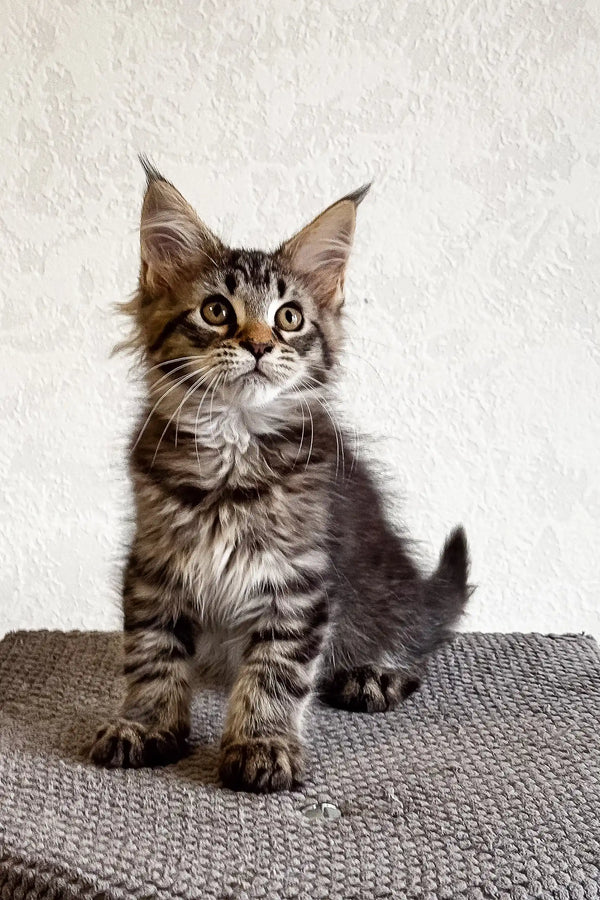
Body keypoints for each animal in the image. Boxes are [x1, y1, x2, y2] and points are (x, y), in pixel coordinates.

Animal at [91, 158, 472, 792]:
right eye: (217, 310)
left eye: (289, 317)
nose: (261, 345)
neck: (233, 445)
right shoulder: (153, 565)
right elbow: (151, 652)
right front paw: (144, 724)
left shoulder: (297, 580)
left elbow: (276, 669)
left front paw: (261, 743)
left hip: (384, 584)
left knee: (411, 638)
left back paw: (376, 672)